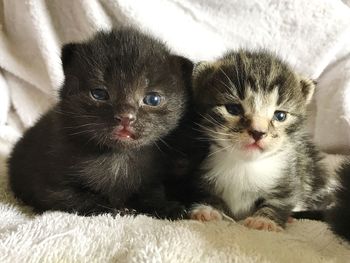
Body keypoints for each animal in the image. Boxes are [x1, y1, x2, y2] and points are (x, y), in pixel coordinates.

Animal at [7, 27, 194, 220]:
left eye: (153, 99)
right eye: (99, 94)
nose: (126, 117)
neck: (118, 158)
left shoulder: (152, 178)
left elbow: (151, 195)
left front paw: (168, 208)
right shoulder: (52, 187)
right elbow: (82, 199)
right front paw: (117, 210)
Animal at [189, 50, 348, 232]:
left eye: (280, 116)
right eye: (233, 109)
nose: (258, 132)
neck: (244, 165)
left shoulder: (289, 175)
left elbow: (280, 200)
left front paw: (264, 220)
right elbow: (206, 193)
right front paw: (207, 209)